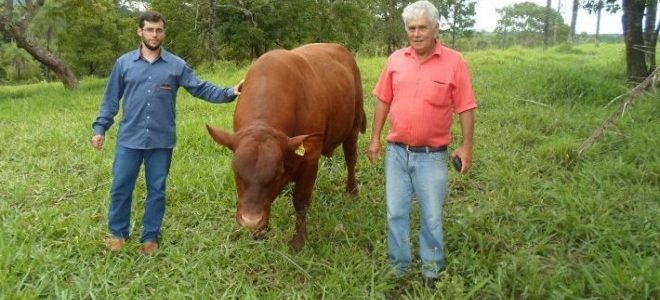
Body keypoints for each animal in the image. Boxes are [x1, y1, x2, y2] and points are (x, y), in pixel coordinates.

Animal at [206, 41, 366, 248]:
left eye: (276, 175)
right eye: (237, 172)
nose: (251, 221)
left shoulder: (310, 157)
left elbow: (300, 201)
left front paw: (299, 241)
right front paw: (259, 232)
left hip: (353, 127)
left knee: (351, 158)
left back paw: (352, 191)